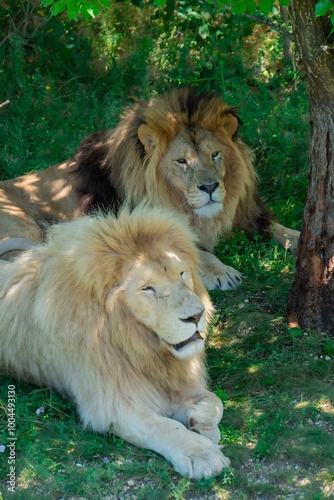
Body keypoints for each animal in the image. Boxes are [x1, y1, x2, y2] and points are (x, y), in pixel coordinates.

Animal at [0, 88, 298, 288]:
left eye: (215, 155)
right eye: (182, 161)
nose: (211, 187)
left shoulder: (244, 214)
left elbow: (278, 228)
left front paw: (302, 240)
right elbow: (197, 250)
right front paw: (222, 272)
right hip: (22, 228)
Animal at [0, 205, 230, 478]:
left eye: (182, 274)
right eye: (147, 288)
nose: (196, 316)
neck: (138, 343)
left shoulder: (173, 378)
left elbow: (216, 401)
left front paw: (199, 422)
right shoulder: (110, 402)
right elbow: (159, 426)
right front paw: (201, 453)